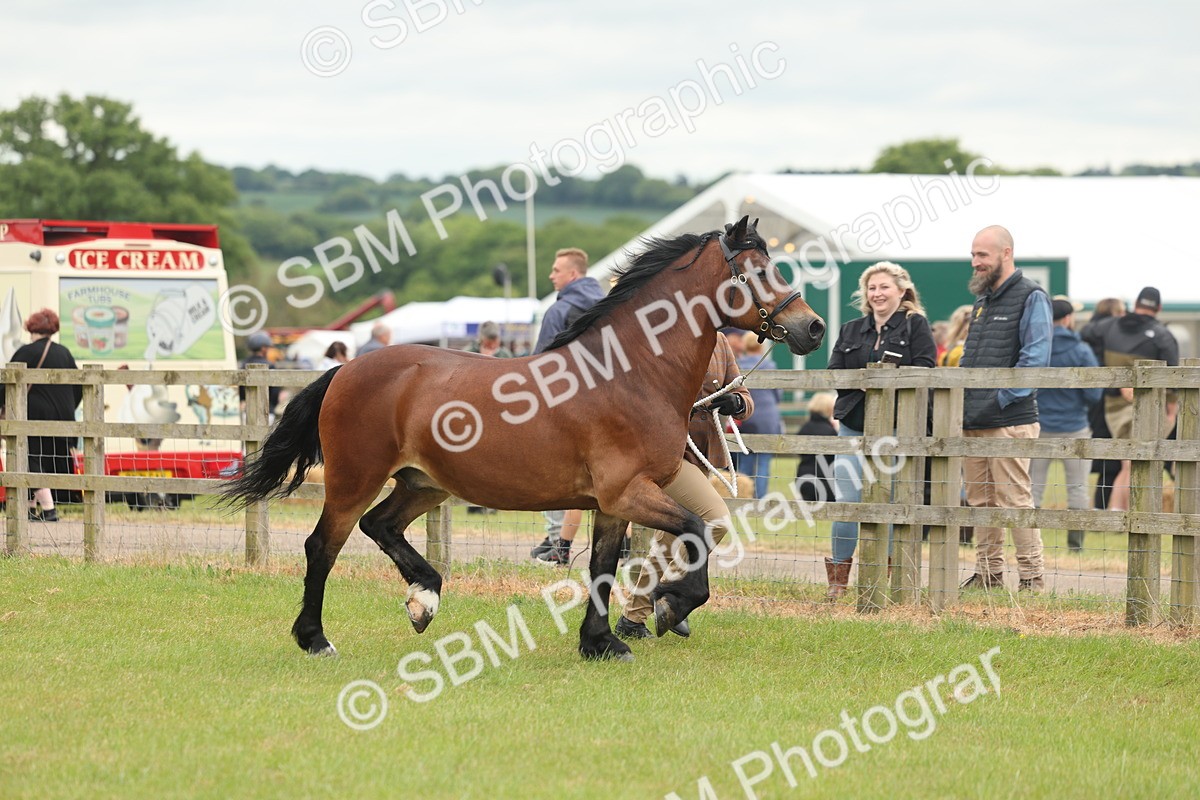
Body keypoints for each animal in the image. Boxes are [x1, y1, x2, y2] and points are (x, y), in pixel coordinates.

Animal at [221, 216, 825, 661]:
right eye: (759, 270)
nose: (813, 327)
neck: (630, 374)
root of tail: (346, 369)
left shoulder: (615, 504)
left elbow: (604, 566)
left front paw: (600, 643)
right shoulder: (628, 492)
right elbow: (695, 533)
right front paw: (669, 607)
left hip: (424, 484)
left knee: (381, 526)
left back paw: (424, 599)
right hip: (354, 480)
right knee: (323, 546)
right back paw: (315, 638)